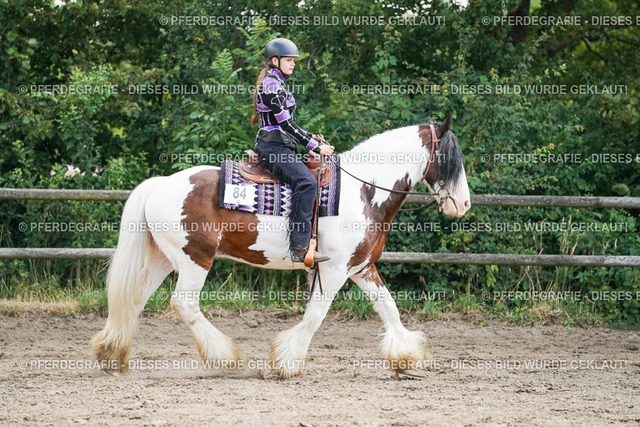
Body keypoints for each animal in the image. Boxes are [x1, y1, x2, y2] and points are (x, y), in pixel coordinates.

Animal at [91, 116, 471, 378]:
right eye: (451, 159)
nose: (464, 204)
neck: (362, 192)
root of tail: (159, 184)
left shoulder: (361, 268)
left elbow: (389, 307)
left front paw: (406, 357)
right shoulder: (333, 270)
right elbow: (316, 315)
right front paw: (286, 362)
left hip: (164, 259)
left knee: (135, 299)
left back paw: (112, 354)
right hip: (195, 260)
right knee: (184, 304)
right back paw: (227, 358)